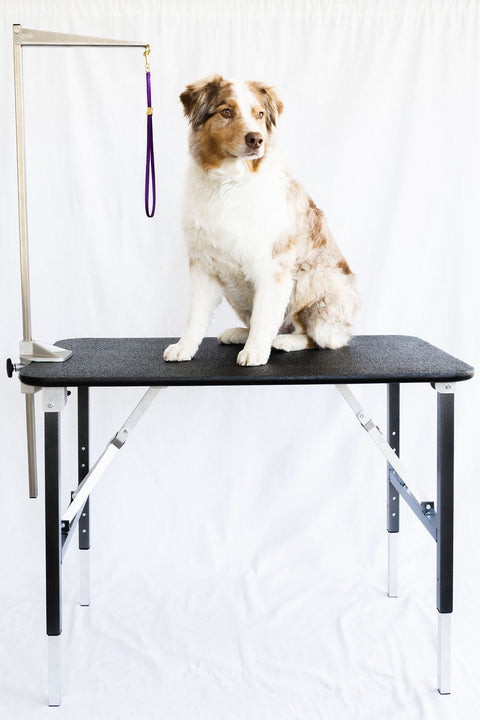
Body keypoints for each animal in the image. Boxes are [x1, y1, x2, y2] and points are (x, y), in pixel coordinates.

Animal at [163, 75, 358, 366]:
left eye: (260, 115)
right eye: (226, 112)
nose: (256, 139)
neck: (229, 184)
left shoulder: (273, 264)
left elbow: (264, 315)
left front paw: (255, 352)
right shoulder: (203, 263)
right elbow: (196, 315)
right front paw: (183, 347)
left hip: (312, 280)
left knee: (322, 338)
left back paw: (284, 341)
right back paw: (239, 333)